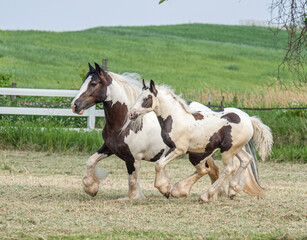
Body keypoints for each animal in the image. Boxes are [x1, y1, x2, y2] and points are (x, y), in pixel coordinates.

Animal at [129, 79, 274, 202]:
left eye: (146, 98)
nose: (132, 114)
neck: (176, 119)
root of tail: (249, 118)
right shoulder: (170, 147)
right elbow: (162, 164)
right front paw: (166, 188)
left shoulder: (180, 149)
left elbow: (159, 164)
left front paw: (165, 190)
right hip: (235, 148)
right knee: (246, 160)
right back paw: (232, 190)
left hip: (228, 151)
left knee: (229, 169)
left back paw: (206, 196)